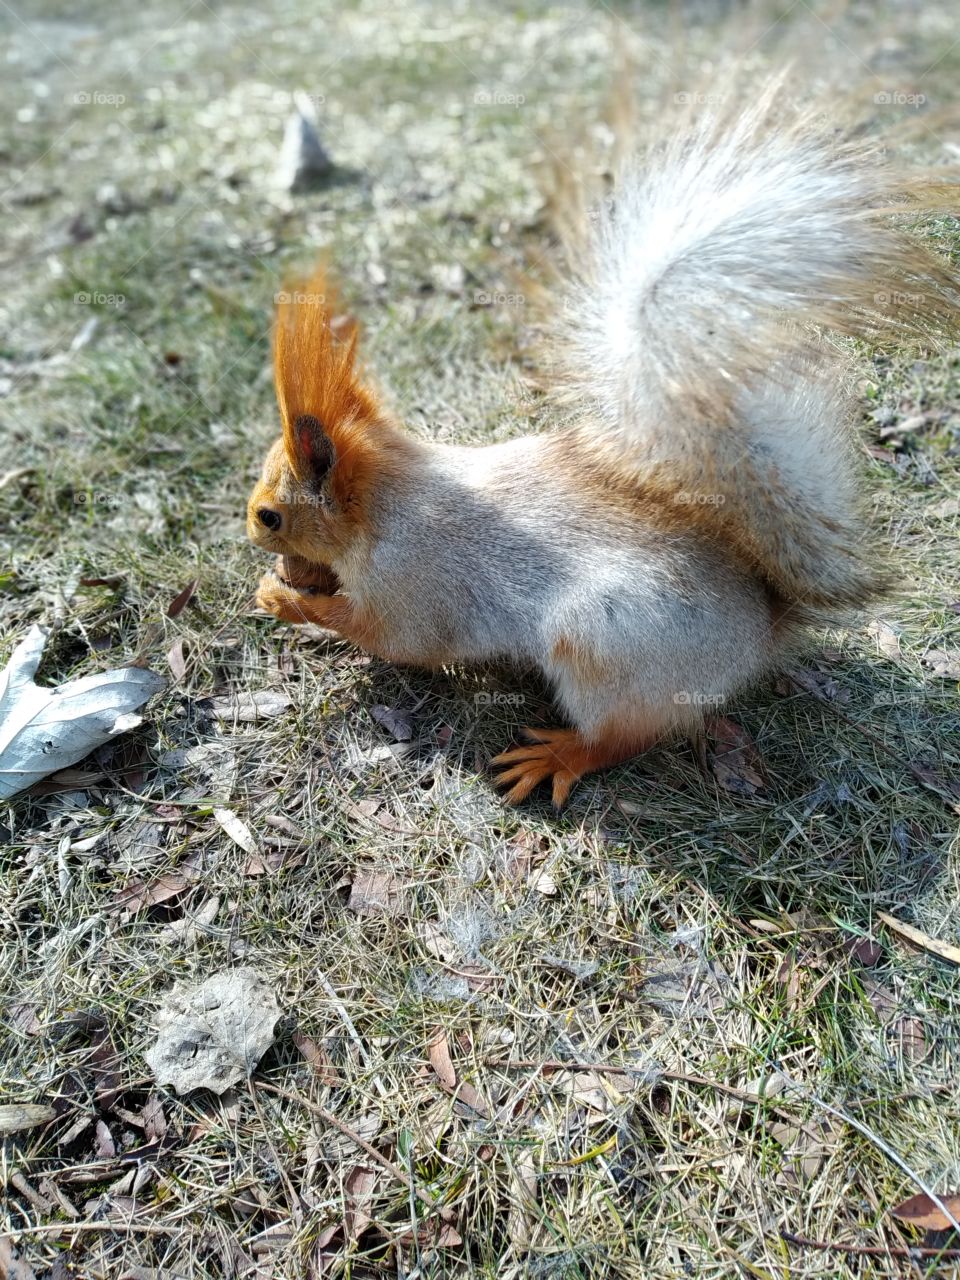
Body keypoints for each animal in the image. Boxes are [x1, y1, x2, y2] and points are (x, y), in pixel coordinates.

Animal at [247, 85, 960, 806]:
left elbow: (393, 638)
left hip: (602, 648)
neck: (389, 499)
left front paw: (285, 599)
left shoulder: (414, 585)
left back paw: (557, 756)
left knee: (622, 737)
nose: (253, 534)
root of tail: (760, 633)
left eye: (269, 515)